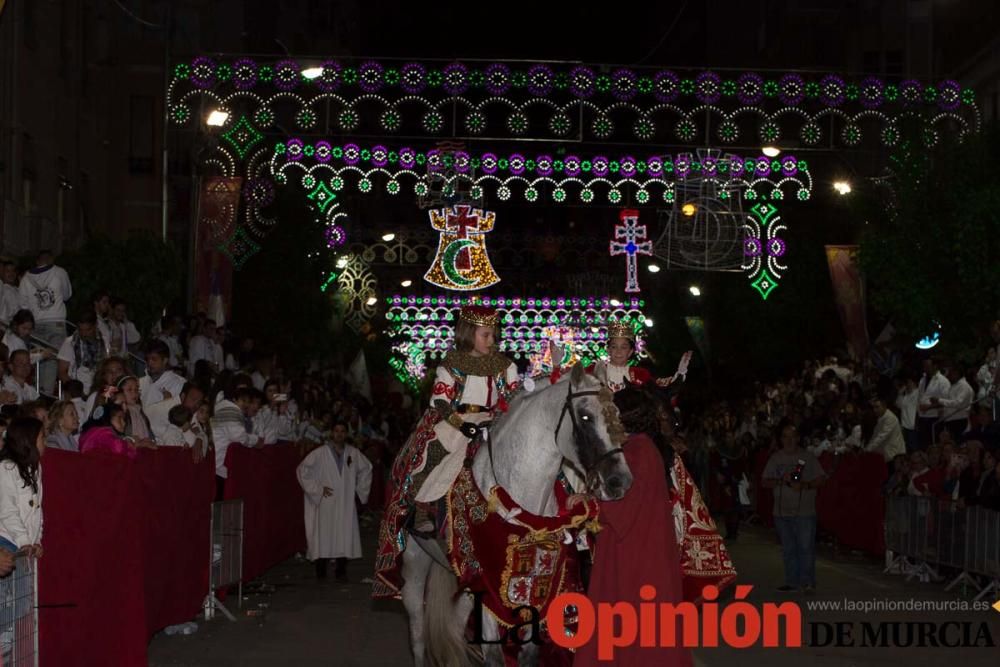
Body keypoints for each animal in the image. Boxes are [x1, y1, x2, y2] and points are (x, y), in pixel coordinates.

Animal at [398, 366, 632, 667]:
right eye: (585, 417)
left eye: (617, 414)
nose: (620, 481)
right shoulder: (489, 587)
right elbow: (495, 658)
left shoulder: (536, 587)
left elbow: (529, 654)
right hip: (414, 562)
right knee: (417, 629)